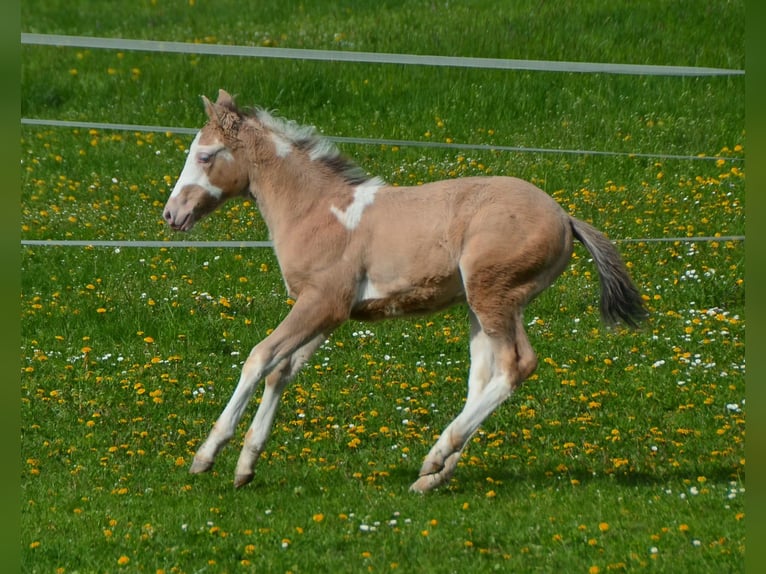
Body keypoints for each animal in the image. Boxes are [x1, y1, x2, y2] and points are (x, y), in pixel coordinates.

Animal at [164, 91, 648, 496]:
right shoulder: (331, 312)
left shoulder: (322, 301)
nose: (171, 214)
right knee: (482, 378)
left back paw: (436, 455)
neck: (318, 211)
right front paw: (246, 466)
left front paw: (207, 455)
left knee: (516, 365)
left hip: (494, 294)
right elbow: (282, 371)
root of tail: (565, 217)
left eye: (205, 155)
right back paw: (433, 476)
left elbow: (259, 357)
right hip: (481, 307)